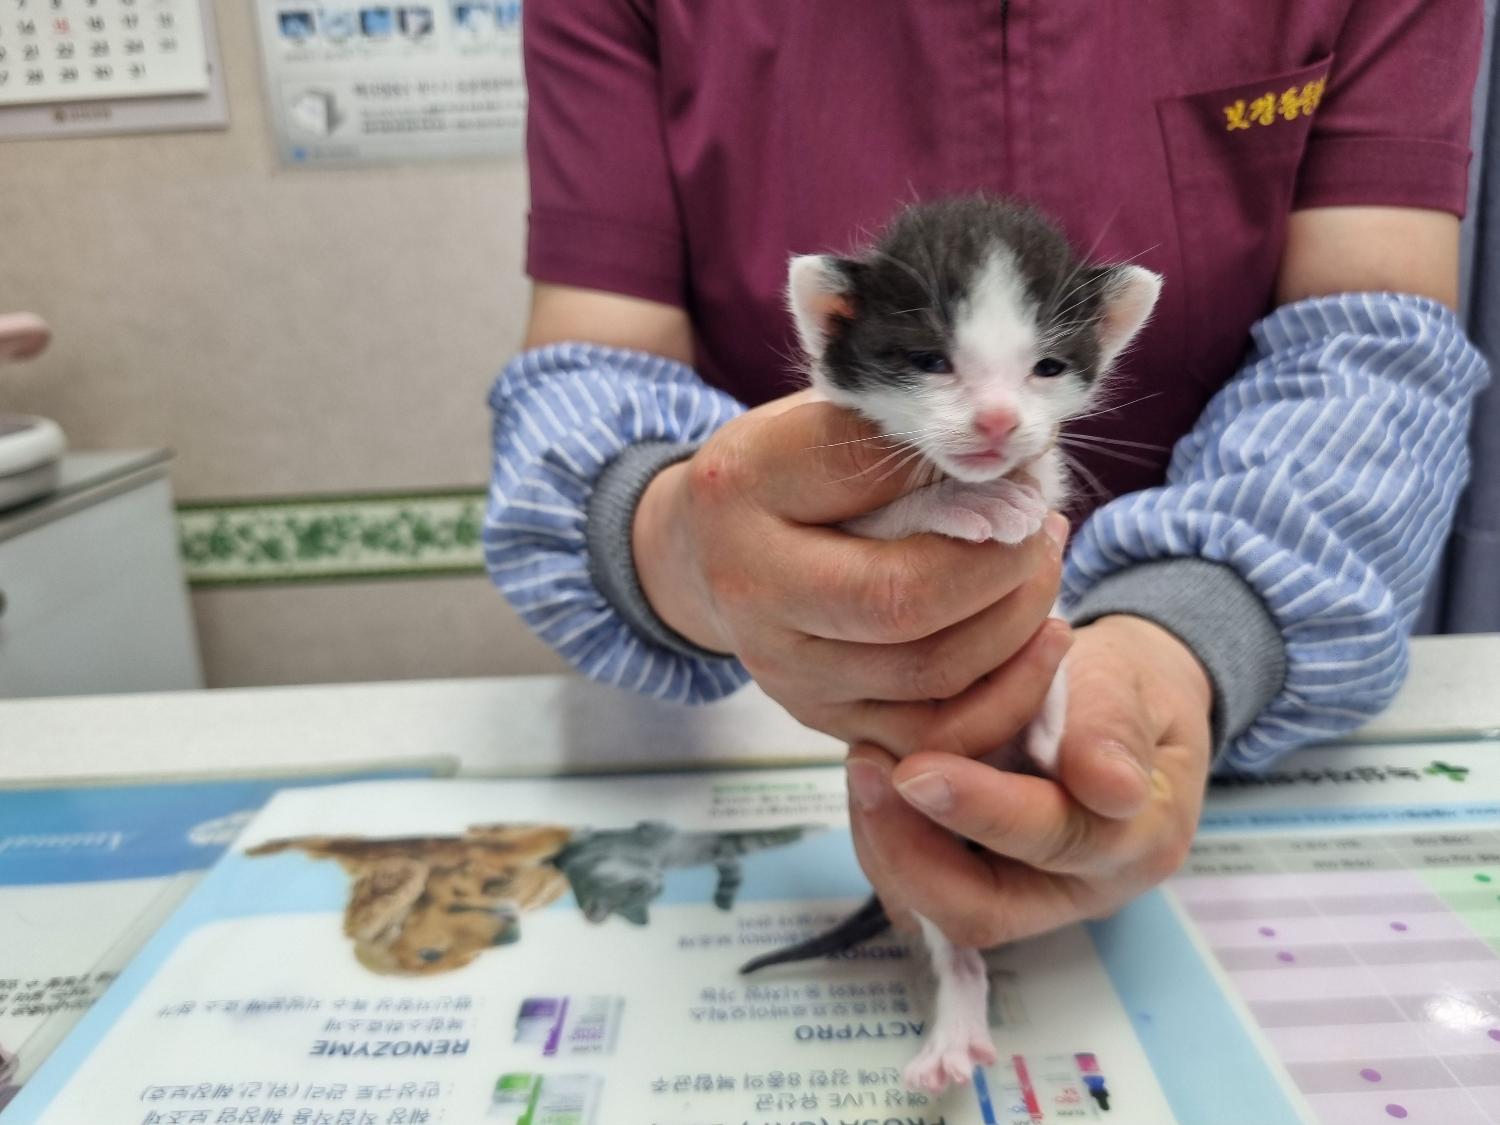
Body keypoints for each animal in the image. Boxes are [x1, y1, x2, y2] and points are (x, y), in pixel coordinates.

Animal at [768, 198, 1164, 1098]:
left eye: (1046, 367)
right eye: (929, 360)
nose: (997, 421)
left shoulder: (1052, 495)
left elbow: (1048, 561)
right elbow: (894, 510)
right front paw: (961, 504)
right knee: (957, 949)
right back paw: (953, 1031)